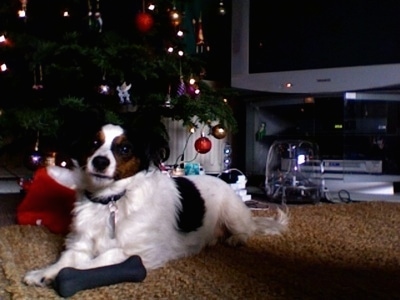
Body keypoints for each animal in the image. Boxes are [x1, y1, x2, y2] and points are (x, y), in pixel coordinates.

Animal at [23, 122, 290, 288]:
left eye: (124, 148)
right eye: (93, 144)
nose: (99, 162)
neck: (111, 200)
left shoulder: (135, 252)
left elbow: (95, 262)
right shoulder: (79, 244)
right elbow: (66, 260)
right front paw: (43, 273)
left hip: (232, 212)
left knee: (246, 230)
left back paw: (236, 239)